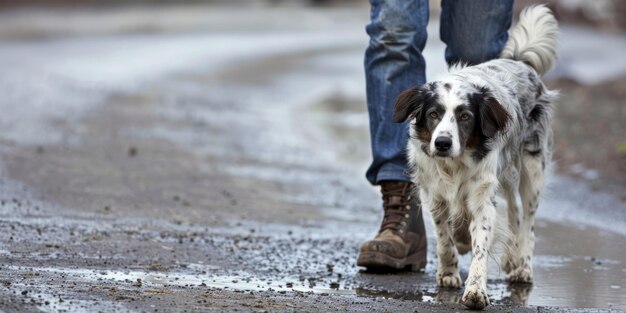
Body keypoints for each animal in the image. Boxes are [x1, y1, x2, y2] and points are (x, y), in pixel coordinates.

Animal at [392, 4, 560, 310]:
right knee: (513, 209)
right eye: (433, 114)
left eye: (465, 117)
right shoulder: (434, 194)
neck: (454, 165)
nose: (442, 143)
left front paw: (476, 290)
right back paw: (508, 257)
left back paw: (522, 266)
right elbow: (444, 238)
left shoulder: (482, 195)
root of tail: (520, 61)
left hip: (532, 169)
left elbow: (481, 244)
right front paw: (448, 271)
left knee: (528, 219)